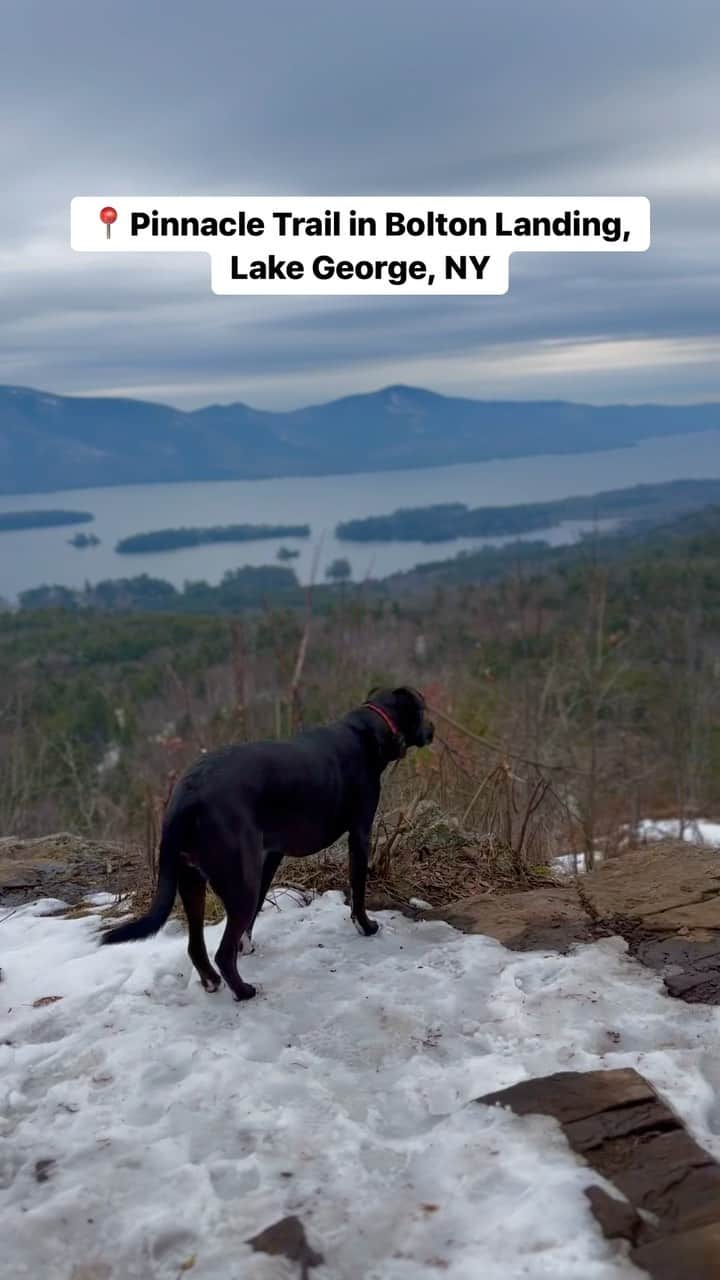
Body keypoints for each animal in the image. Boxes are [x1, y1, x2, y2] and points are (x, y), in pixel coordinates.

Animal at [99, 691, 430, 998]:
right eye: (424, 709)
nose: (433, 729)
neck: (369, 726)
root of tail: (187, 795)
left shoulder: (270, 855)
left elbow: (259, 907)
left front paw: (246, 945)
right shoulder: (360, 833)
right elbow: (358, 890)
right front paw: (366, 926)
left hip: (193, 881)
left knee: (196, 946)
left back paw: (212, 981)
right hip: (238, 883)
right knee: (222, 953)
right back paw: (244, 991)